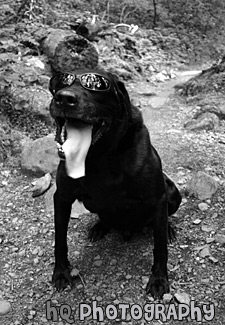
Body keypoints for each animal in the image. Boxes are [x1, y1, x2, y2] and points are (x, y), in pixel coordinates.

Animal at [49, 69, 181, 298]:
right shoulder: (62, 197)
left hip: (173, 193)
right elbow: (60, 241)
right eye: (60, 82)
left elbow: (160, 247)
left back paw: (169, 229)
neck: (99, 156)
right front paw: (61, 273)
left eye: (98, 84)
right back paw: (99, 227)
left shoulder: (158, 198)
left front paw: (158, 279)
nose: (64, 98)